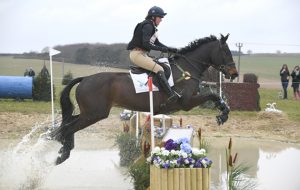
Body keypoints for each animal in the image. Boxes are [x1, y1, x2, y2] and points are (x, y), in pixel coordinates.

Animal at [50, 34, 238, 165]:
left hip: (89, 113)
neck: (187, 68)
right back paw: (63, 153)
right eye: (226, 52)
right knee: (66, 129)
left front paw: (223, 113)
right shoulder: (186, 103)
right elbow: (212, 95)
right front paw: (223, 114)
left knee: (68, 124)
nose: (234, 74)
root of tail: (85, 79)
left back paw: (63, 149)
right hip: (94, 114)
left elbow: (214, 95)